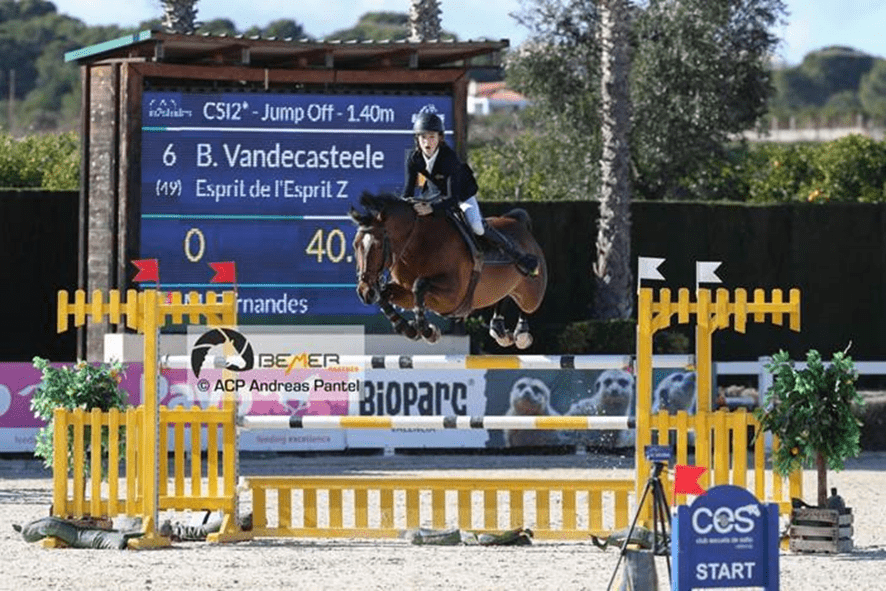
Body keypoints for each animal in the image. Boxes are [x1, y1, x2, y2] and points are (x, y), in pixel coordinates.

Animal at [349, 193, 548, 349]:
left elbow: (419, 285)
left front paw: (428, 331)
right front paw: (409, 329)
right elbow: (385, 295)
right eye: (355, 245)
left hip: (532, 295)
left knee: (527, 306)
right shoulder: (405, 292)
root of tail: (519, 223)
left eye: (377, 246)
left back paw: (521, 332)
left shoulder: (452, 296)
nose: (364, 292)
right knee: (505, 294)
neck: (415, 243)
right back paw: (499, 329)